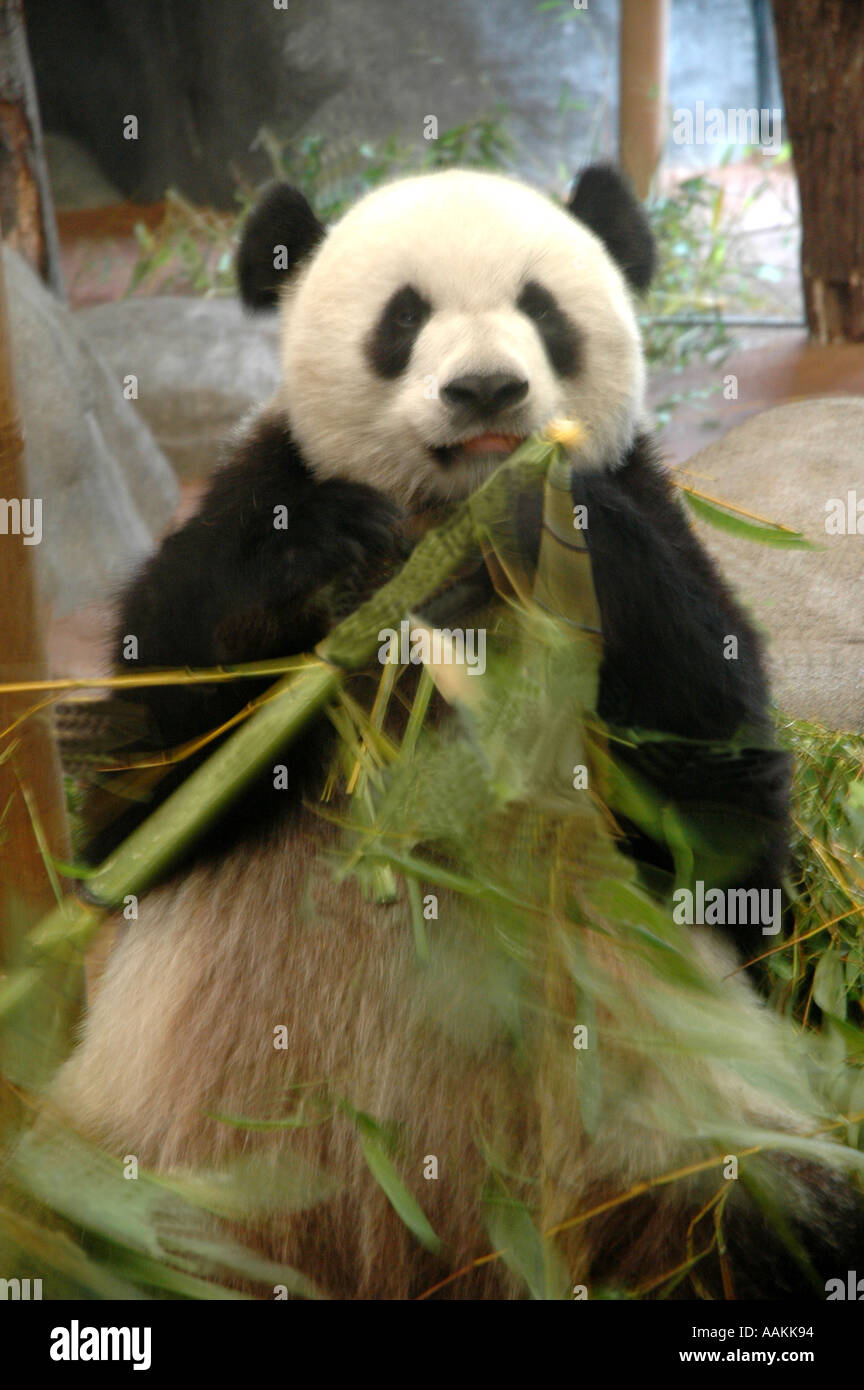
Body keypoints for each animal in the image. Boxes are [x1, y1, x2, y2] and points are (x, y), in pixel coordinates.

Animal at [52, 165, 864, 1301]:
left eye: (542, 310)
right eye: (403, 319)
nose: (487, 392)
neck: (447, 535)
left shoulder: (650, 528)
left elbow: (727, 825)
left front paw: (548, 521)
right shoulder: (257, 504)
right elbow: (135, 804)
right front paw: (310, 555)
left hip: (674, 1151)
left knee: (768, 1212)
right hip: (159, 1164)